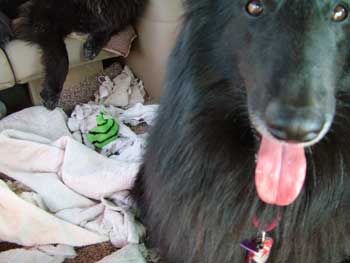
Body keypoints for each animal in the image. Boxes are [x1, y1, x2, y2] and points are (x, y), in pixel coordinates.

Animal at [13, 0, 145, 109]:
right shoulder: (42, 19)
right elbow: (61, 57)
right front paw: (52, 93)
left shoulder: (118, 18)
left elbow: (108, 27)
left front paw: (92, 47)